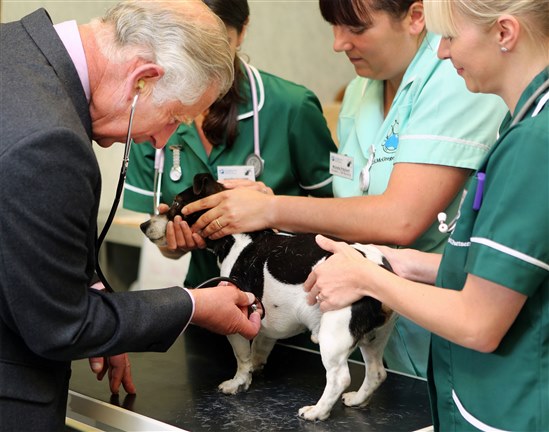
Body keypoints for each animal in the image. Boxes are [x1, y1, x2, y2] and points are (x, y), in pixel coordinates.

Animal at [140, 173, 394, 422]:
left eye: (176, 204)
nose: (143, 224)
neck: (237, 239)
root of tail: (378, 267)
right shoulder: (265, 324)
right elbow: (258, 349)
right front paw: (255, 369)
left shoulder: (237, 319)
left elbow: (242, 357)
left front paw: (238, 382)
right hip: (374, 337)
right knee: (377, 372)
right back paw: (357, 399)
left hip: (334, 334)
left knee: (339, 378)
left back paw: (317, 411)